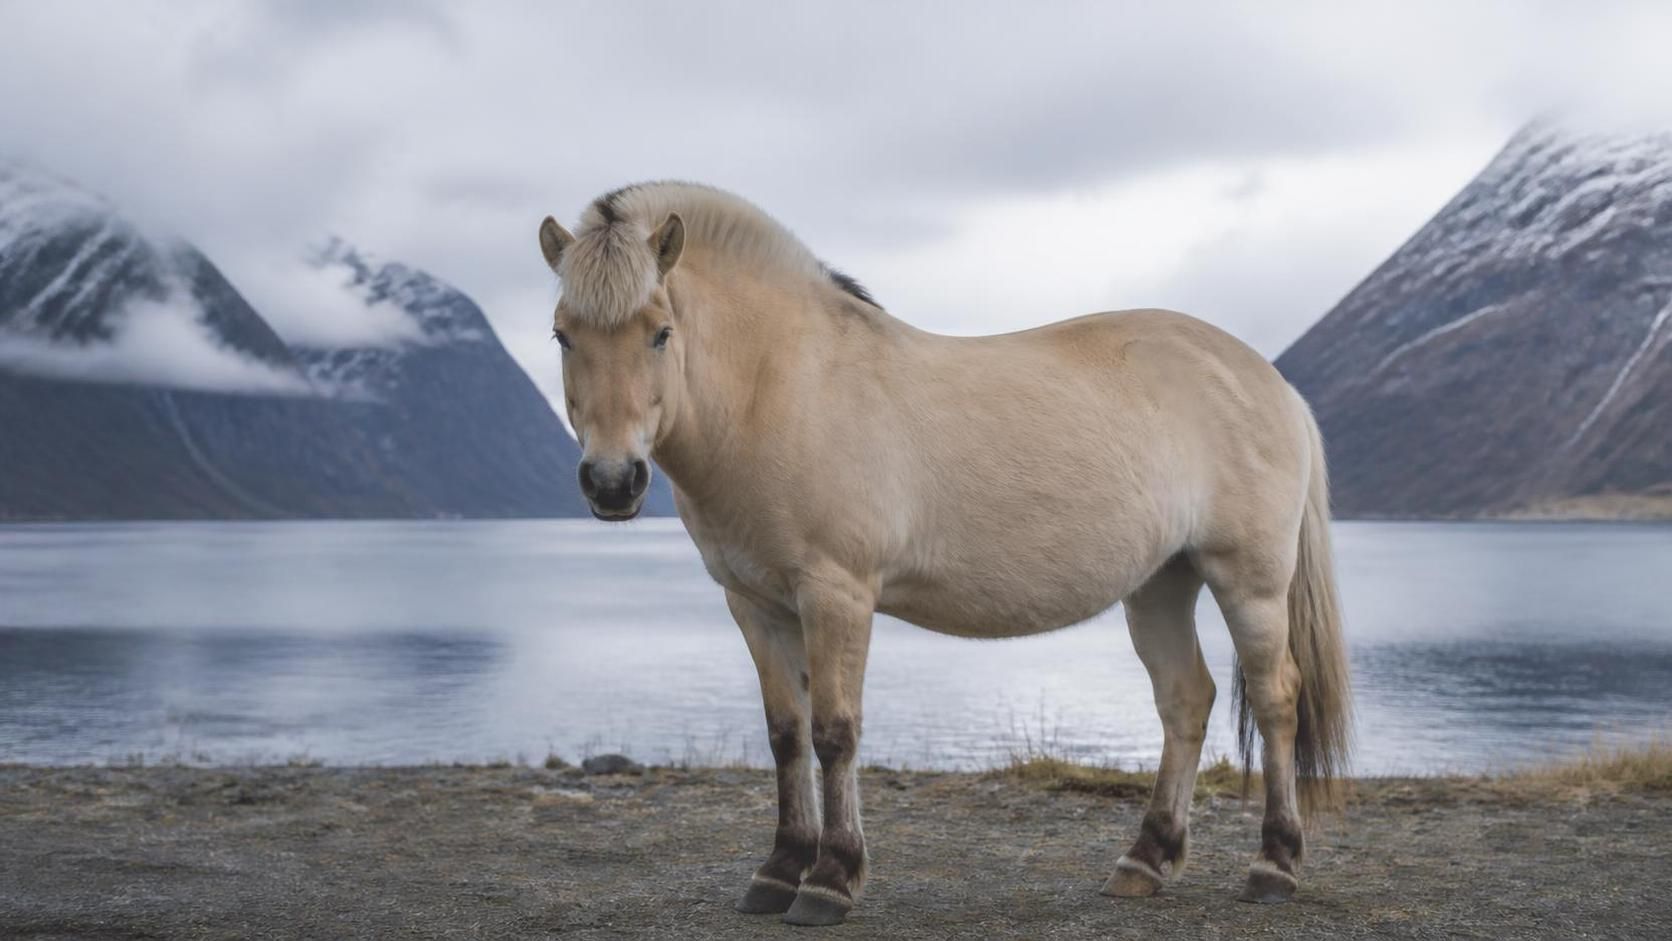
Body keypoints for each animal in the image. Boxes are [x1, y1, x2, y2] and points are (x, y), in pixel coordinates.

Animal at [535, 182, 1352, 926]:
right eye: (562, 335)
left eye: (660, 331)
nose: (612, 481)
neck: (780, 385)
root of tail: (1272, 382)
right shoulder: (756, 604)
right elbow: (786, 735)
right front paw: (778, 871)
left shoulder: (836, 594)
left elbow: (835, 733)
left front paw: (830, 879)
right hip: (1159, 583)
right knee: (1186, 700)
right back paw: (1145, 860)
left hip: (1249, 581)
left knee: (1277, 699)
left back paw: (1274, 865)